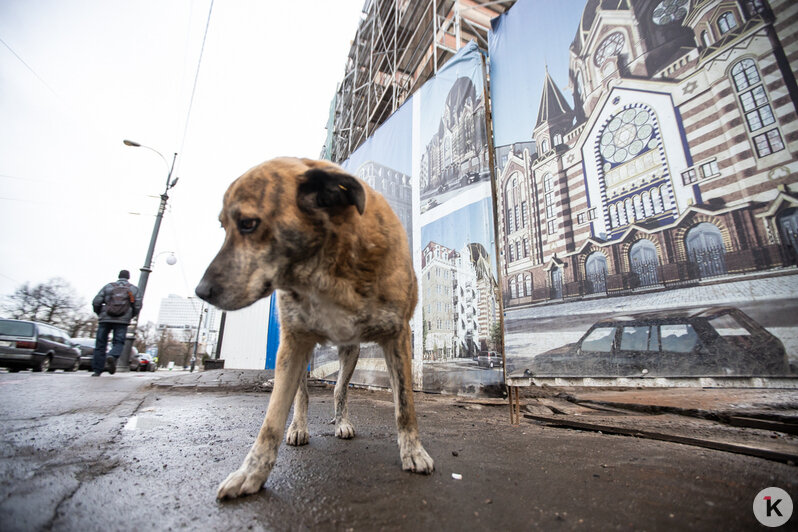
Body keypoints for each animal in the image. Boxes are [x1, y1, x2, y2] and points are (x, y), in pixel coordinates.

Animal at [197, 157, 434, 498]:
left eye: (248, 223)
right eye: (224, 227)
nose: (201, 292)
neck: (327, 267)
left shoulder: (397, 337)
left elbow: (405, 406)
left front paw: (413, 451)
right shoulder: (294, 342)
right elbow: (272, 419)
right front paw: (251, 472)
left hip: (351, 352)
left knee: (339, 389)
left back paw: (341, 421)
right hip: (302, 353)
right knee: (302, 395)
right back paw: (298, 427)